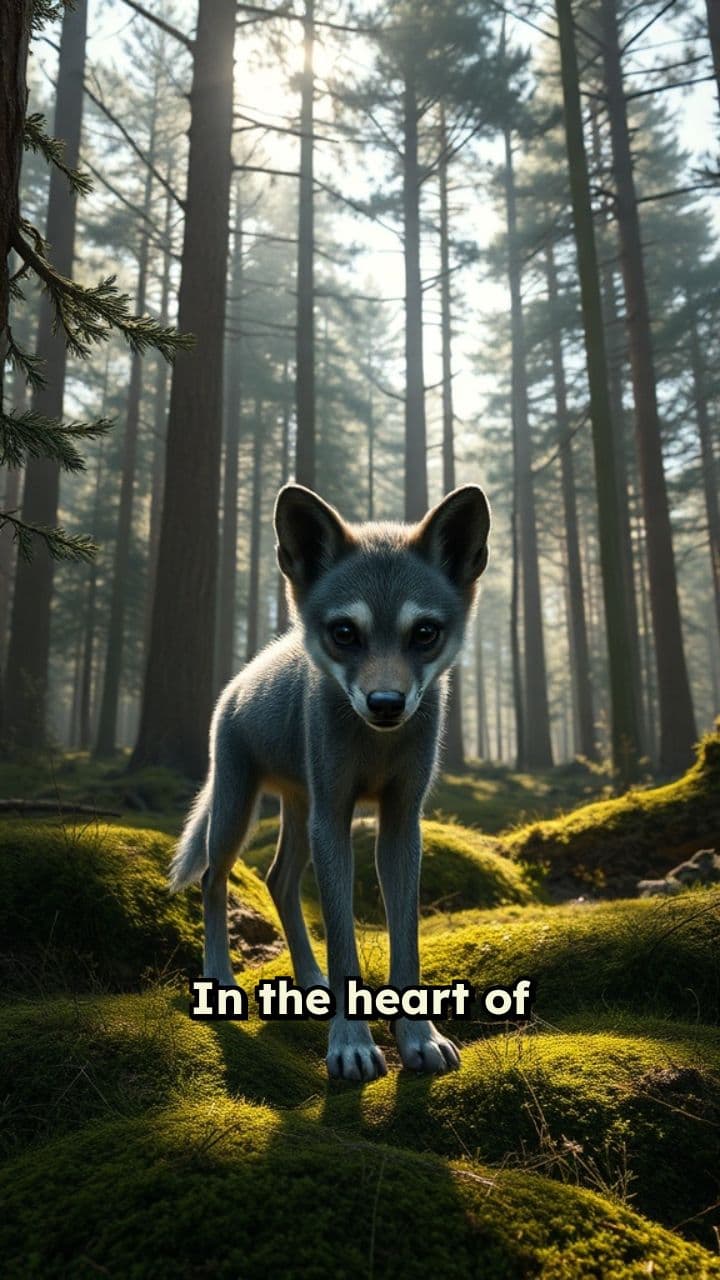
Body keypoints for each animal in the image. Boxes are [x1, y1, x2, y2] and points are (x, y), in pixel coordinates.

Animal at [170, 482, 491, 1081]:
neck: (377, 748)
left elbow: (406, 941)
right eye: (346, 633)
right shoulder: (335, 818)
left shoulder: (401, 821)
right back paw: (221, 979)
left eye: (424, 633)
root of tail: (240, 679)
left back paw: (310, 980)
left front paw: (418, 1037)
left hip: (300, 815)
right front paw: (351, 1045)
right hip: (239, 815)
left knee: (277, 880)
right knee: (212, 880)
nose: (386, 703)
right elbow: (344, 940)